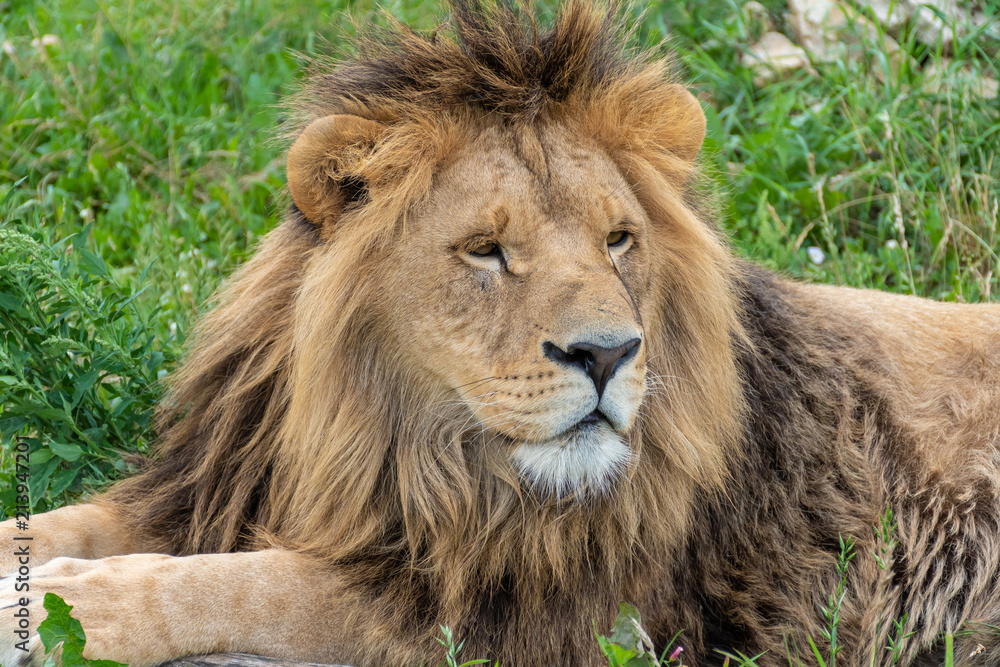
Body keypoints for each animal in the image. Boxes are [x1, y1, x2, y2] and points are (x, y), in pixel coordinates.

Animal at [1, 1, 1000, 667]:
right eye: (486, 250)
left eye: (618, 239)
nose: (606, 354)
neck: (396, 444)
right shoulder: (207, 487)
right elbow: (66, 519)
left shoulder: (530, 614)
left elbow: (256, 582)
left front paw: (71, 602)